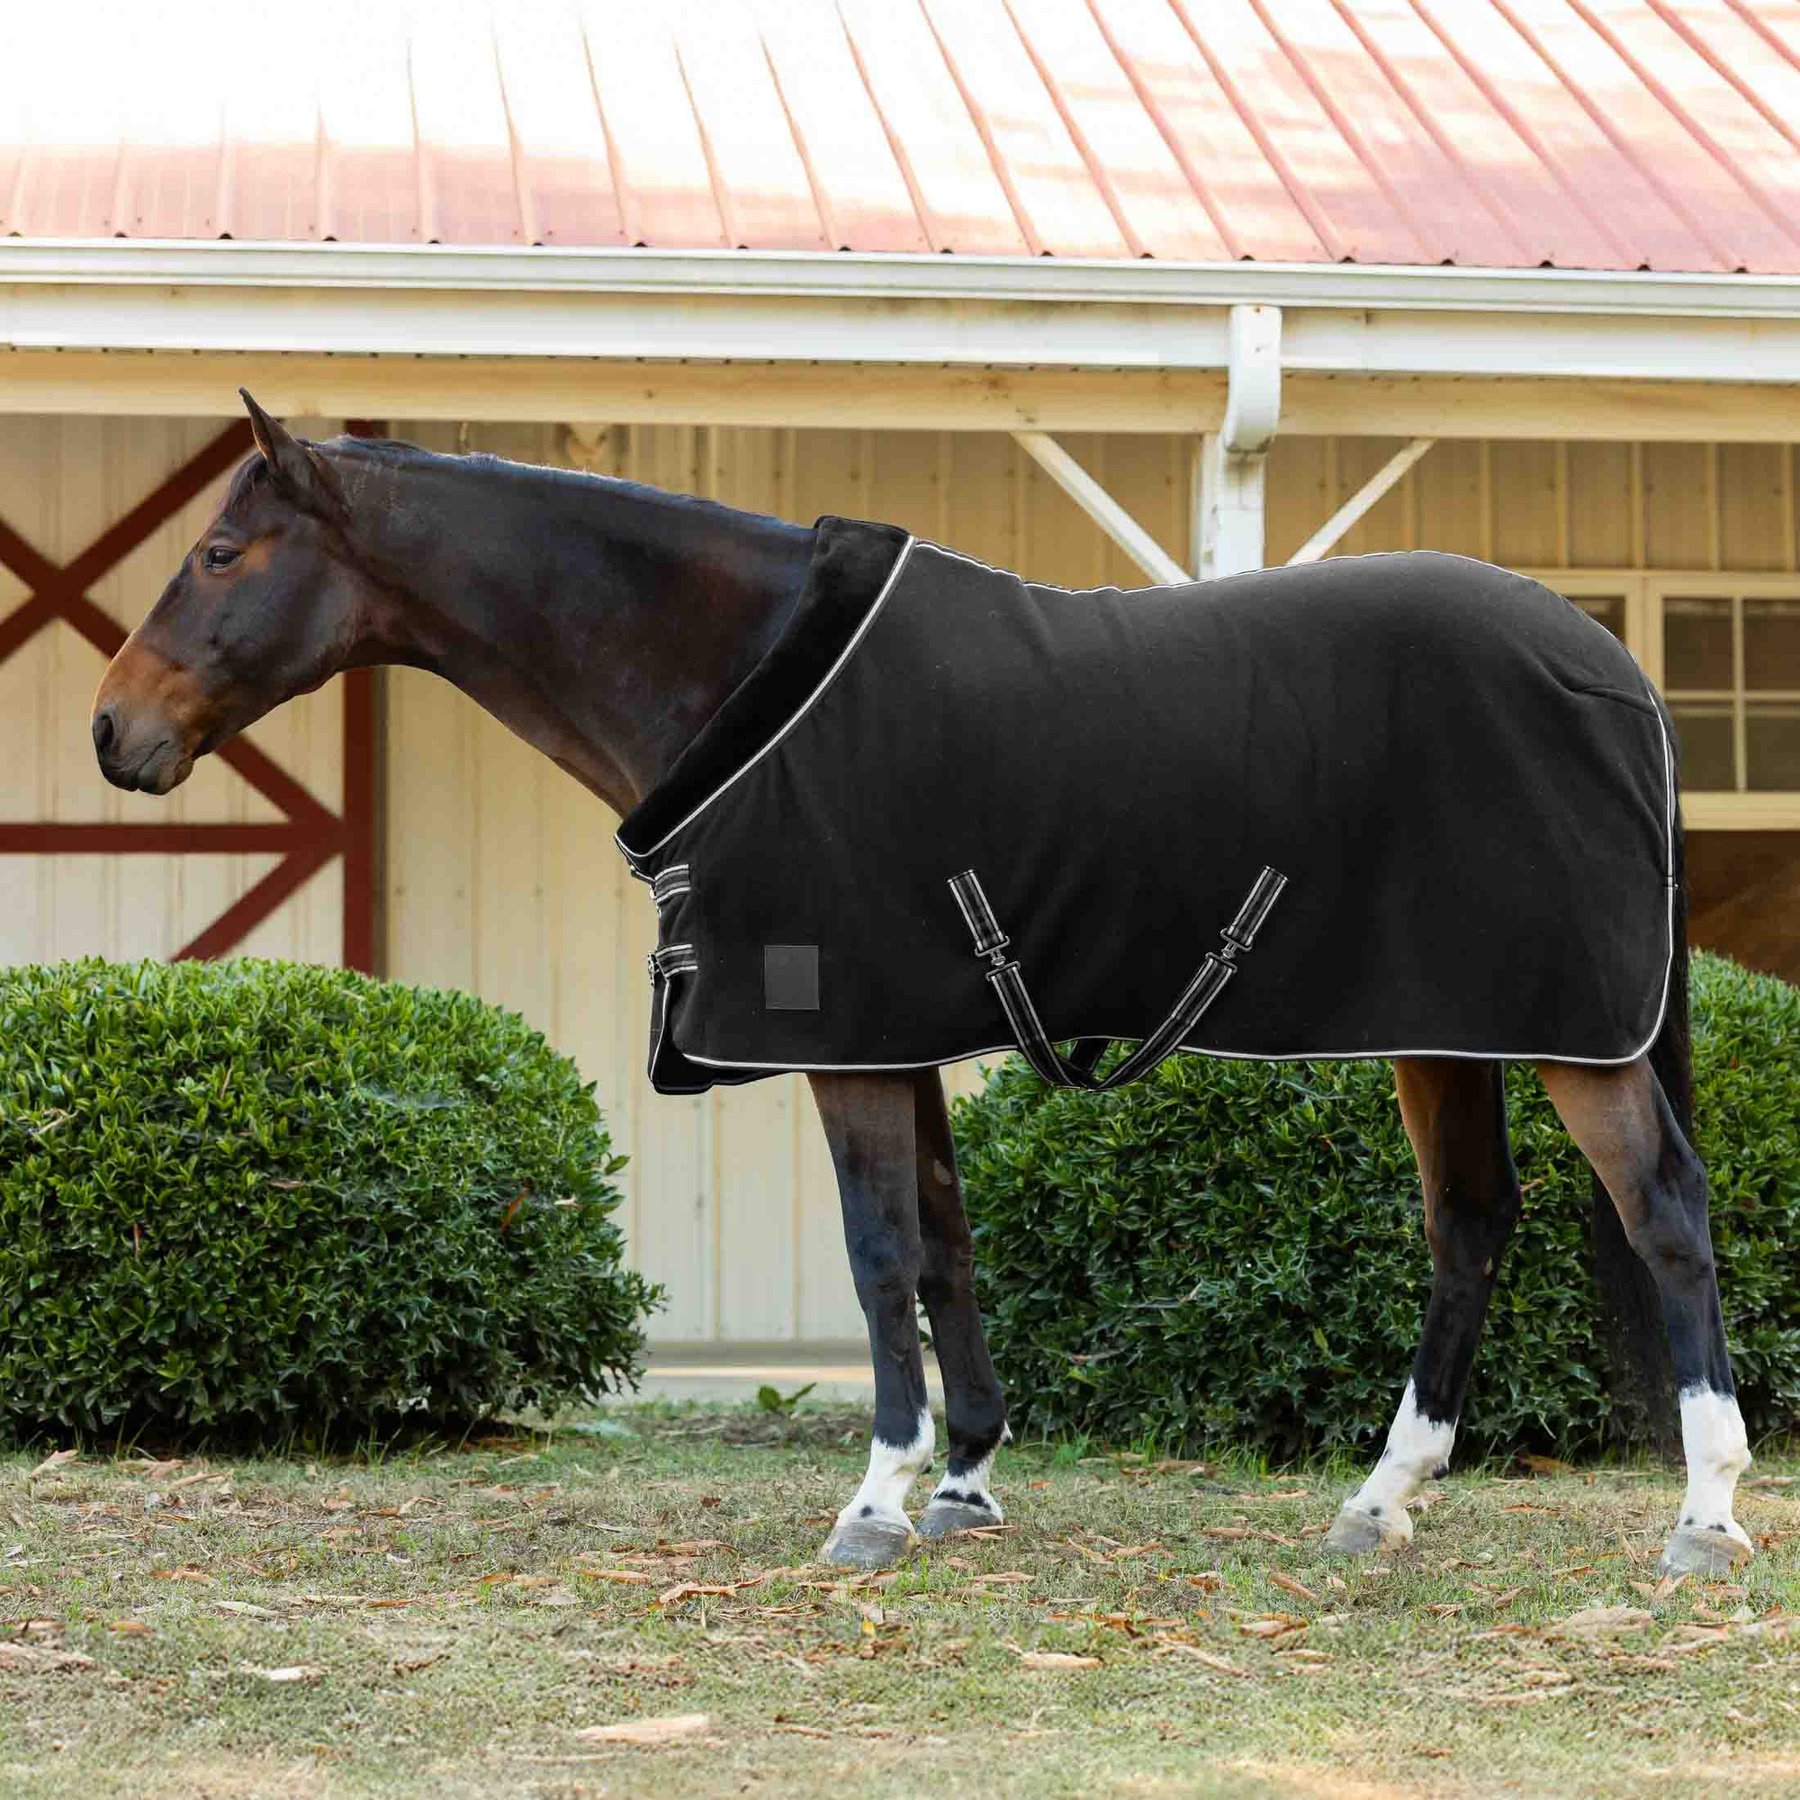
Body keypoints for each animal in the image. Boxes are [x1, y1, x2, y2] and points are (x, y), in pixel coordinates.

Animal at [92, 393, 1753, 1577]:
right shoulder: (905, 1032)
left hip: (1575, 1044)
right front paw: (964, 1481)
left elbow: (881, 1250)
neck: (741, 669)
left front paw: (880, 1501)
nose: (116, 733)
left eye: (220, 555)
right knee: (1471, 1223)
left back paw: (1707, 1515)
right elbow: (947, 1246)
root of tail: (1614, 671)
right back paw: (1382, 1501)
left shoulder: (851, 1042)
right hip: (1444, 1023)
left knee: (1665, 1214)